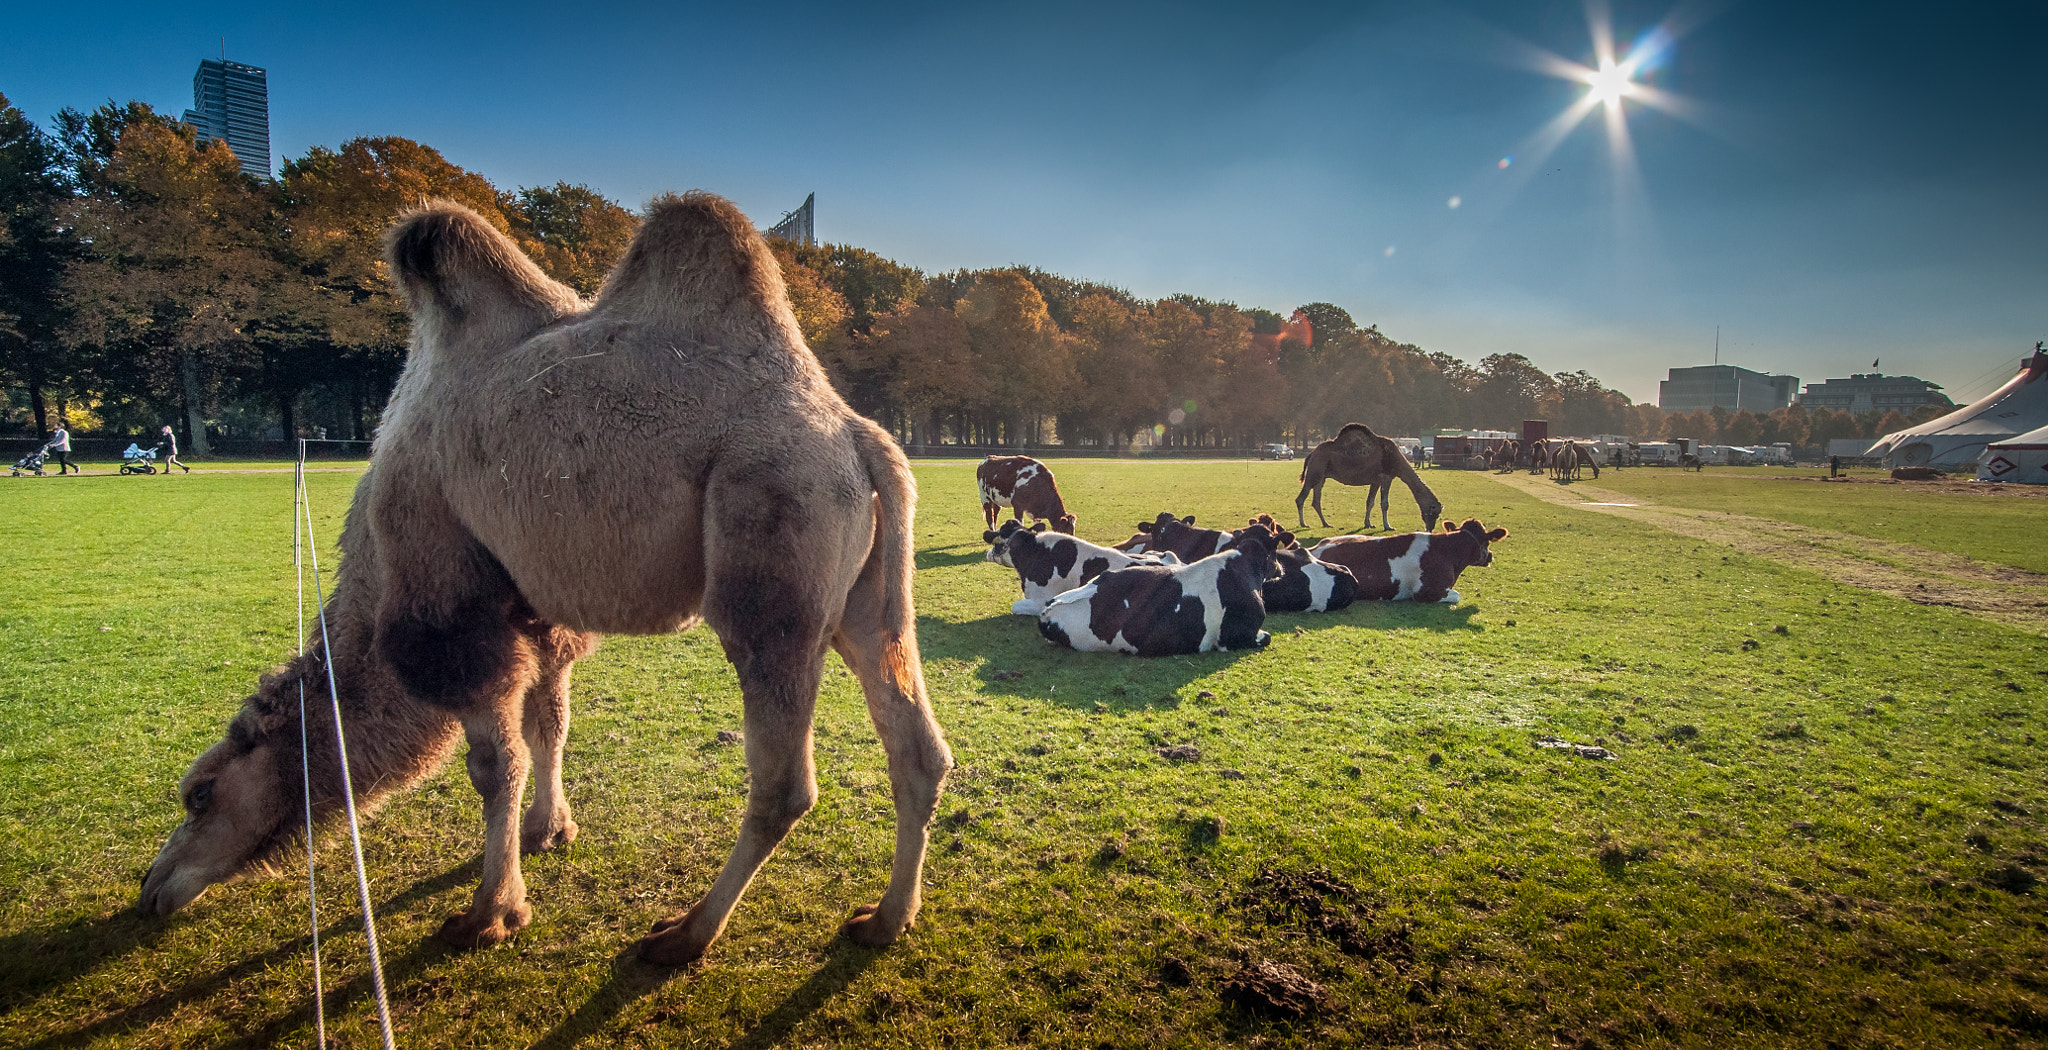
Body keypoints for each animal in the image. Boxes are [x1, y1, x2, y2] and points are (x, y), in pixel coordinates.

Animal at [139, 194, 952, 966]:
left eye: (199, 794)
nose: (151, 889)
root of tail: (859, 437)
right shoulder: (535, 613)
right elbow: (547, 722)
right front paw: (548, 830)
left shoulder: (454, 607)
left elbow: (495, 764)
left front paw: (490, 914)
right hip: (865, 595)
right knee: (915, 744)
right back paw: (885, 921)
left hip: (774, 546)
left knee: (783, 781)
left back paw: (684, 937)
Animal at [1294, 422, 1443, 532]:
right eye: (1434, 513)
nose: (1430, 529)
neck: (1396, 460)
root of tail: (1311, 454)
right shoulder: (1386, 477)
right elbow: (1384, 504)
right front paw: (1388, 526)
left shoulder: (1375, 481)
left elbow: (1370, 502)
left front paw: (1368, 524)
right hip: (1314, 472)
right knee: (1301, 498)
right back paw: (1304, 524)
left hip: (1321, 476)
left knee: (1316, 500)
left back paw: (1326, 523)